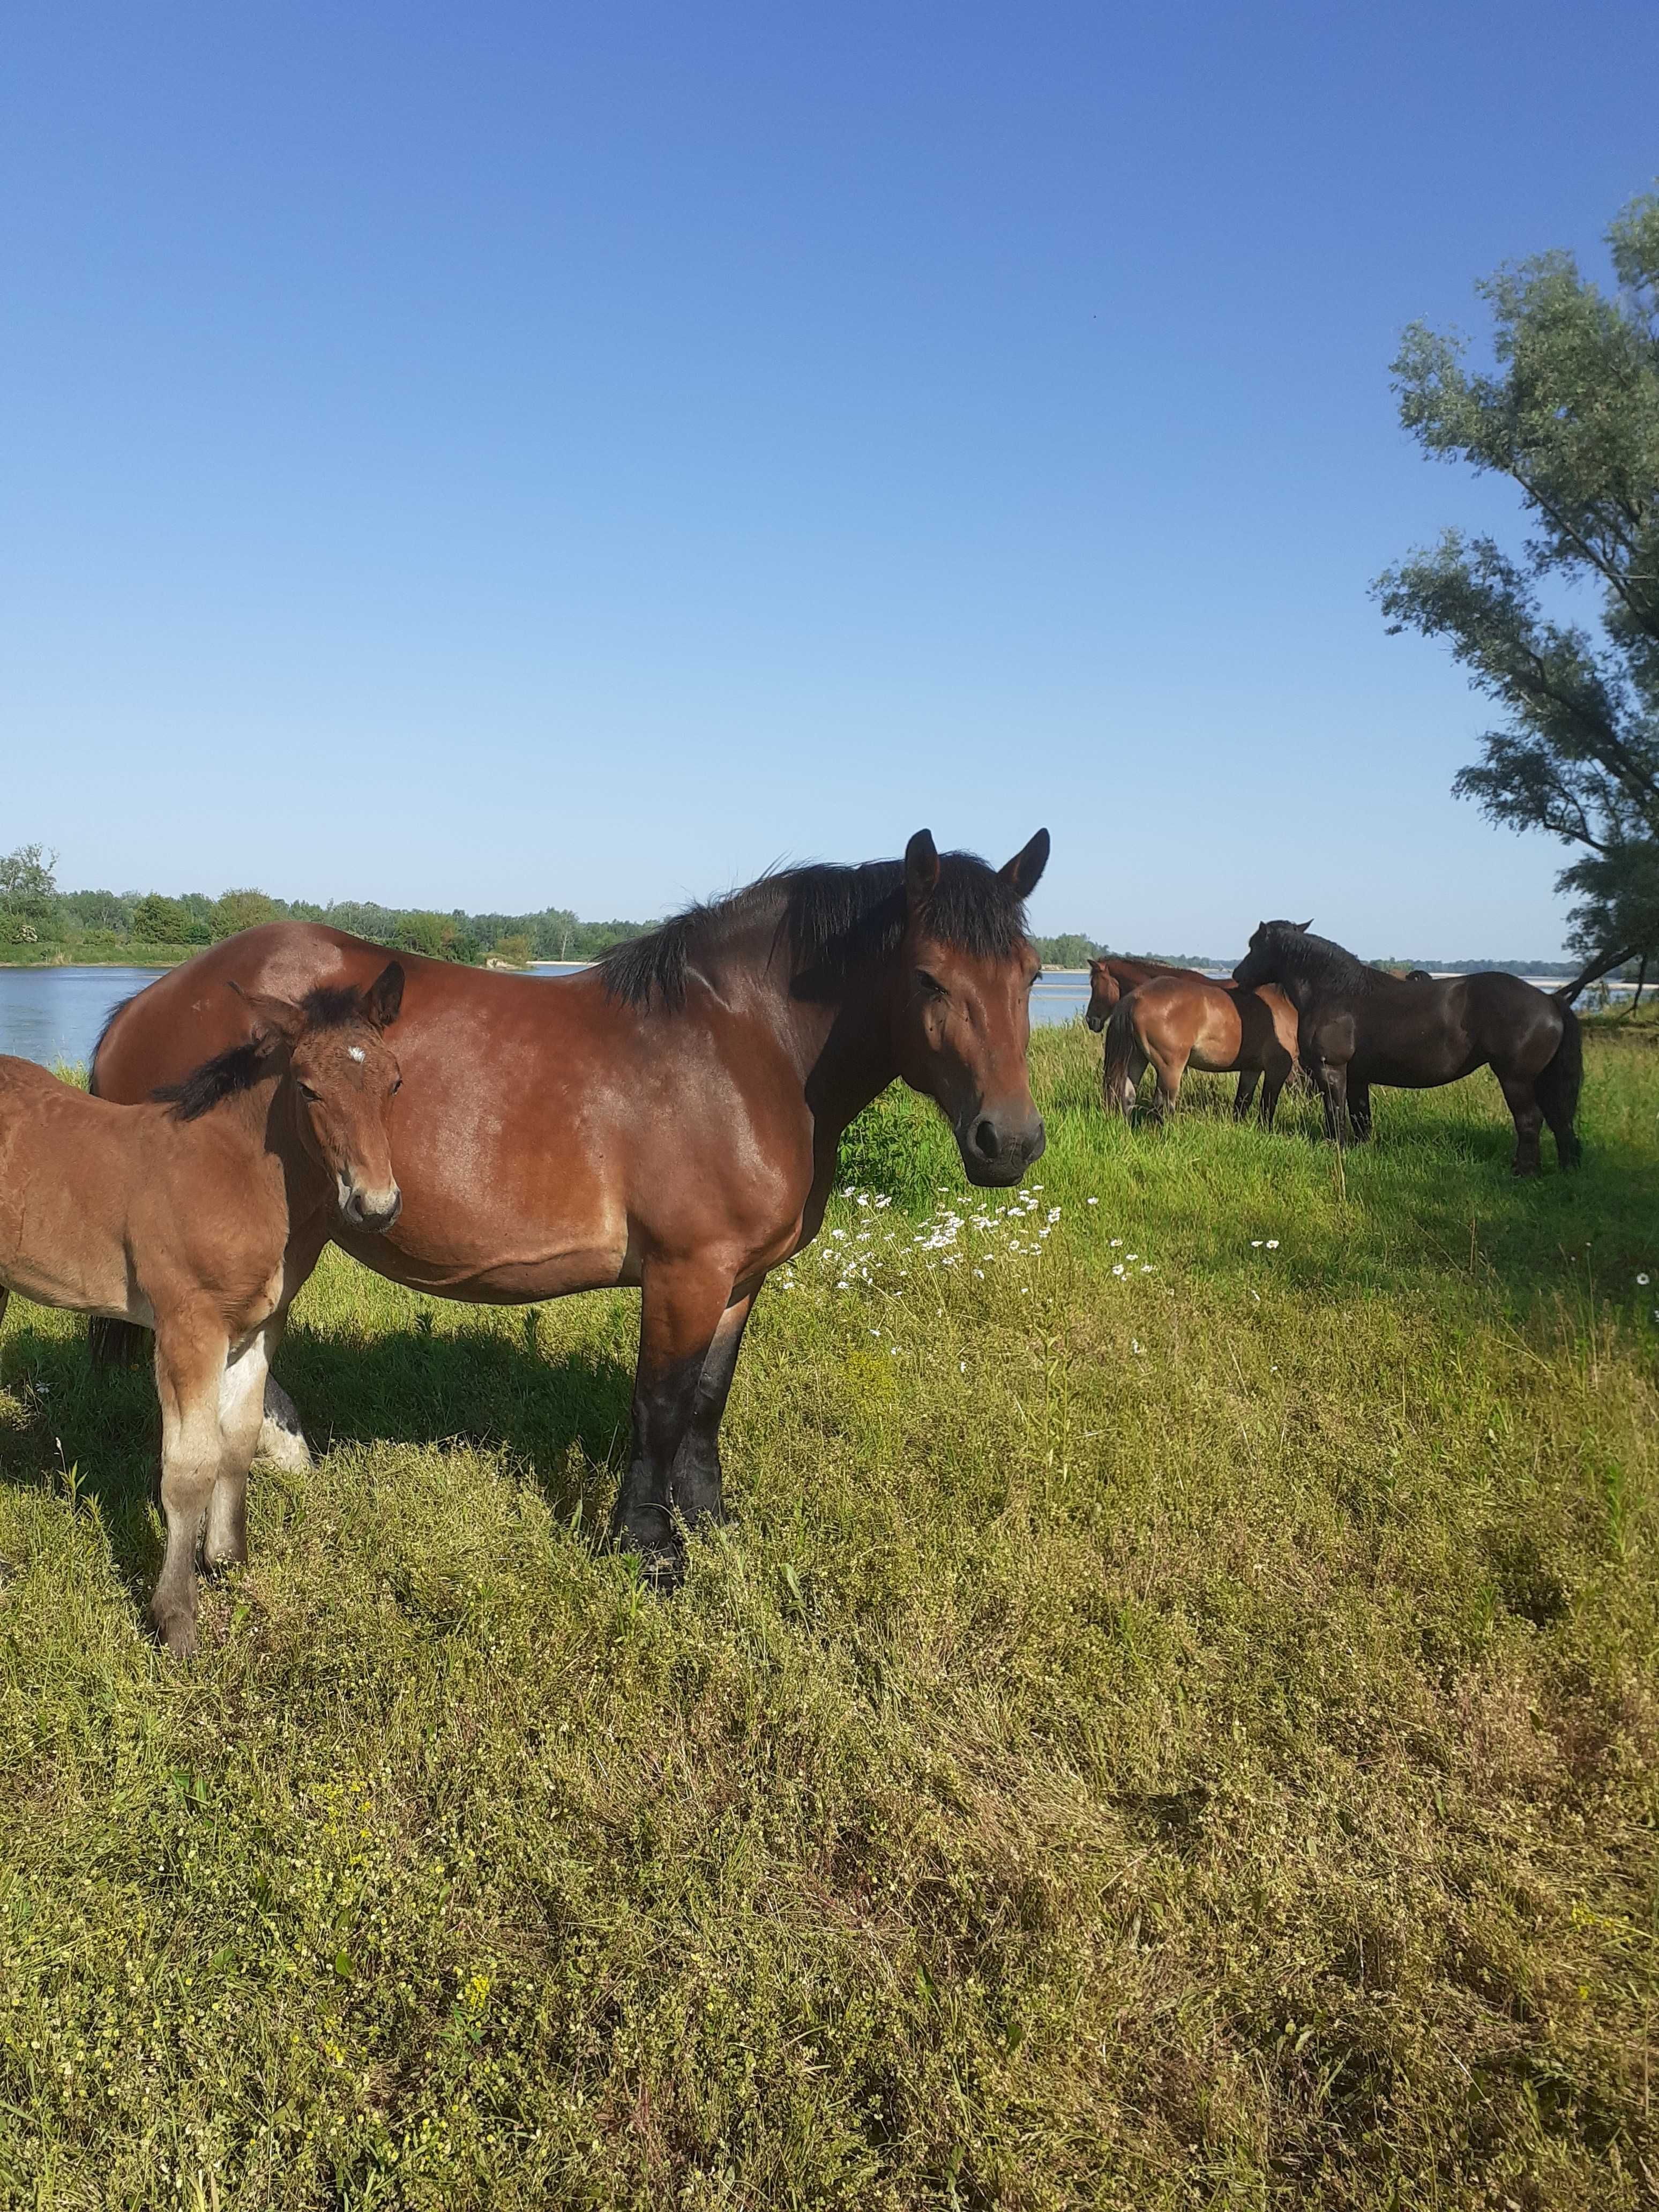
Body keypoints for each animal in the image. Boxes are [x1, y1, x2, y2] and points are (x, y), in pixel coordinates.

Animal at [2, 960, 407, 1654]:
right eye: (308, 1089)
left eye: (395, 1082)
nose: (375, 1207)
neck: (236, 1173)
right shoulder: (188, 1330)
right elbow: (188, 1469)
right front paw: (176, 1618)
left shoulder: (260, 1328)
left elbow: (238, 1442)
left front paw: (227, 1561)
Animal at [91, 827, 1052, 1575]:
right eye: (928, 976)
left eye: (1035, 974)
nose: (1007, 1140)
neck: (740, 1048)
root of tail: (149, 999)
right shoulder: (686, 1273)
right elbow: (659, 1405)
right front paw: (647, 1550)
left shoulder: (740, 1278)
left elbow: (706, 1402)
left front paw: (711, 1526)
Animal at [1097, 973, 1309, 1124]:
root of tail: (1136, 997)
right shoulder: (1278, 1068)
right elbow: (1268, 1104)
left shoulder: (1252, 1069)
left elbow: (1243, 1101)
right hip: (1170, 1067)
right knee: (1163, 1105)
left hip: (1137, 1059)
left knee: (1127, 1097)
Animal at [1238, 920, 1583, 1177]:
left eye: (1254, 946)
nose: (1238, 976)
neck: (1336, 994)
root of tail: (1551, 999)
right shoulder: (1359, 1076)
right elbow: (1361, 1117)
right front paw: (1360, 1151)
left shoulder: (1332, 1069)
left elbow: (1335, 1113)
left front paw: (1336, 1147)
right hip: (1542, 1081)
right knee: (1559, 1119)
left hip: (1516, 1080)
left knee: (1530, 1121)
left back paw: (1524, 1172)